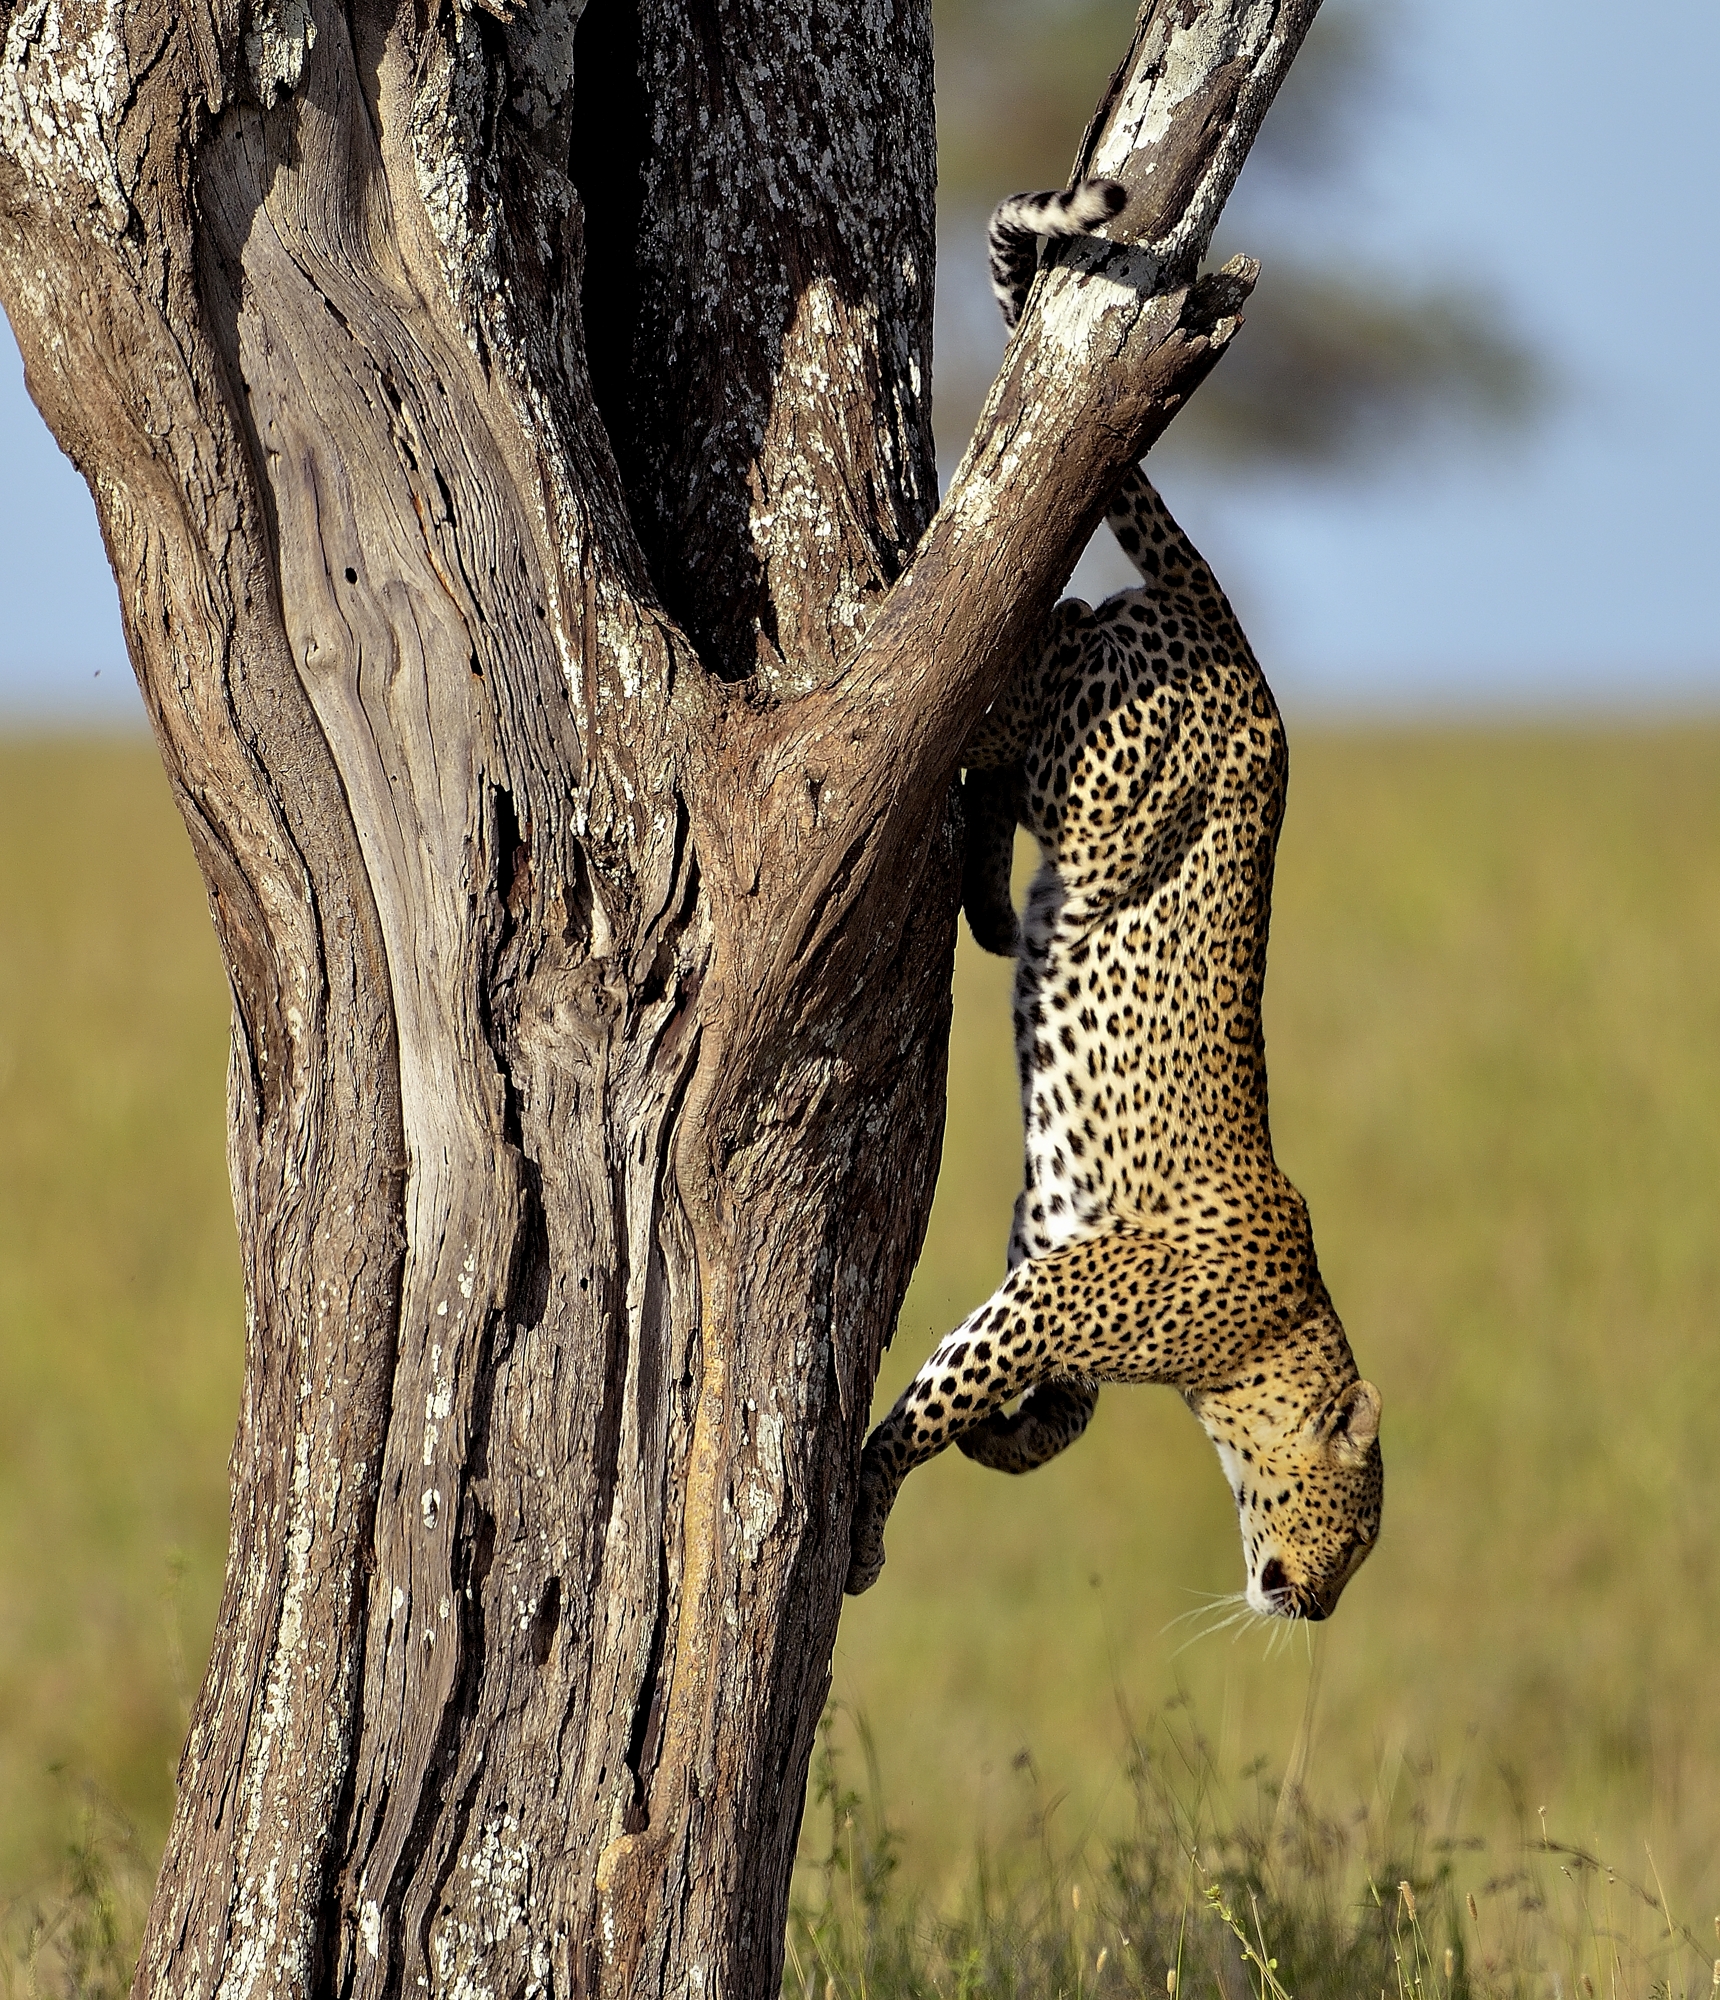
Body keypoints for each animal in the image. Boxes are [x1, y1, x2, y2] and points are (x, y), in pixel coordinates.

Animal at [844, 181, 1383, 1619]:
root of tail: (1246, 653)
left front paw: (1000, 1440)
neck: (1271, 1342)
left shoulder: (1050, 1267)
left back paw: (985, 901)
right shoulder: (1065, 1289)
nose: (1316, 1604)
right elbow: (941, 1388)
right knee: (1011, 662)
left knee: (1040, 650)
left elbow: (1050, 1417)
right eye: (1360, 1530)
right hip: (1104, 770)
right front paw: (866, 1505)